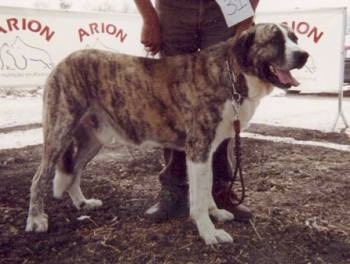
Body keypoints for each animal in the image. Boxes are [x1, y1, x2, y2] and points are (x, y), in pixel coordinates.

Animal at [26, 23, 308, 245]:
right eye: (274, 40)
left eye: (295, 38)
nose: (304, 55)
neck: (231, 72)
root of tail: (64, 61)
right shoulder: (198, 150)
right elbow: (198, 197)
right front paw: (209, 232)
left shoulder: (207, 151)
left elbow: (207, 188)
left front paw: (215, 213)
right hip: (59, 132)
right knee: (39, 178)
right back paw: (36, 220)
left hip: (93, 140)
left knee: (74, 171)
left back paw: (82, 204)